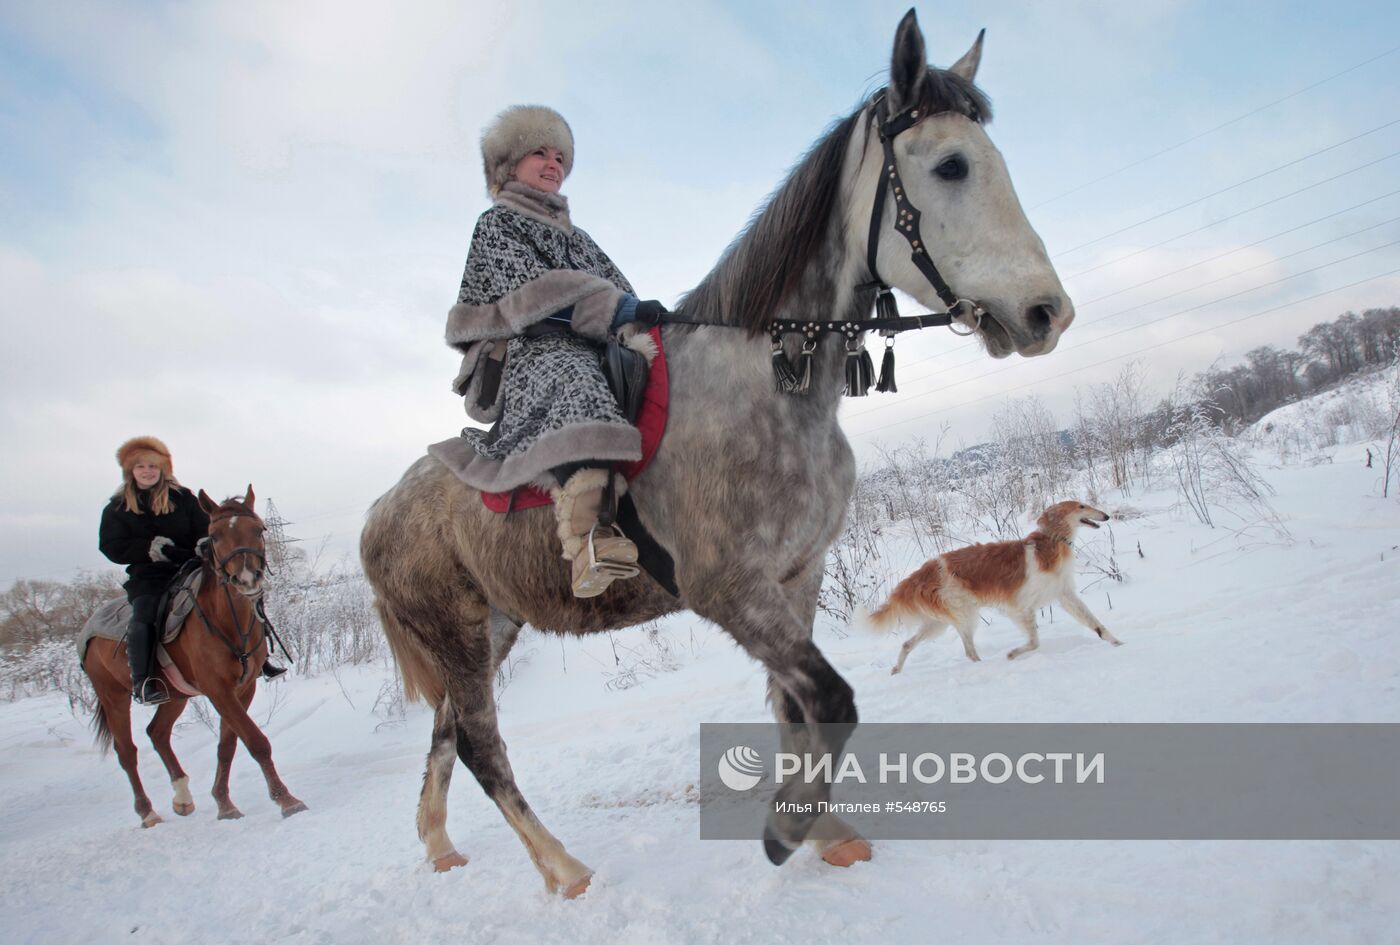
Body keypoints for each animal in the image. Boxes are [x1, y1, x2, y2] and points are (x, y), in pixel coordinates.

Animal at [84, 487, 306, 828]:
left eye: (260, 529)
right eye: (214, 535)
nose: (246, 579)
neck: (226, 621)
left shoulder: (243, 688)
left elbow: (228, 745)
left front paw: (225, 804)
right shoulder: (218, 690)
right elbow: (256, 741)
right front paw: (287, 800)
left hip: (175, 695)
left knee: (157, 733)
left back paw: (183, 797)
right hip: (113, 697)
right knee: (126, 752)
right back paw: (147, 812)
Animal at [361, 12, 1069, 901]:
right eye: (950, 164)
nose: (1047, 312)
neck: (766, 388)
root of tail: (376, 515)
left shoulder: (797, 576)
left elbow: (794, 708)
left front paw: (824, 829)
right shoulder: (729, 588)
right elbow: (831, 699)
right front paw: (787, 829)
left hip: (491, 628)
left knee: (448, 736)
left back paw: (441, 845)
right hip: (458, 636)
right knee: (483, 747)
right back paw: (565, 869)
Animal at [868, 504, 1120, 672]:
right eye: (1082, 505)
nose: (1106, 515)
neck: (1051, 544)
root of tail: (921, 573)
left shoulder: (1065, 595)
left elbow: (1096, 624)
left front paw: (1117, 643)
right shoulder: (1020, 607)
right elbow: (1034, 642)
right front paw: (1011, 654)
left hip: (938, 623)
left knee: (908, 643)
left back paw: (896, 669)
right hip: (964, 616)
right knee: (968, 651)